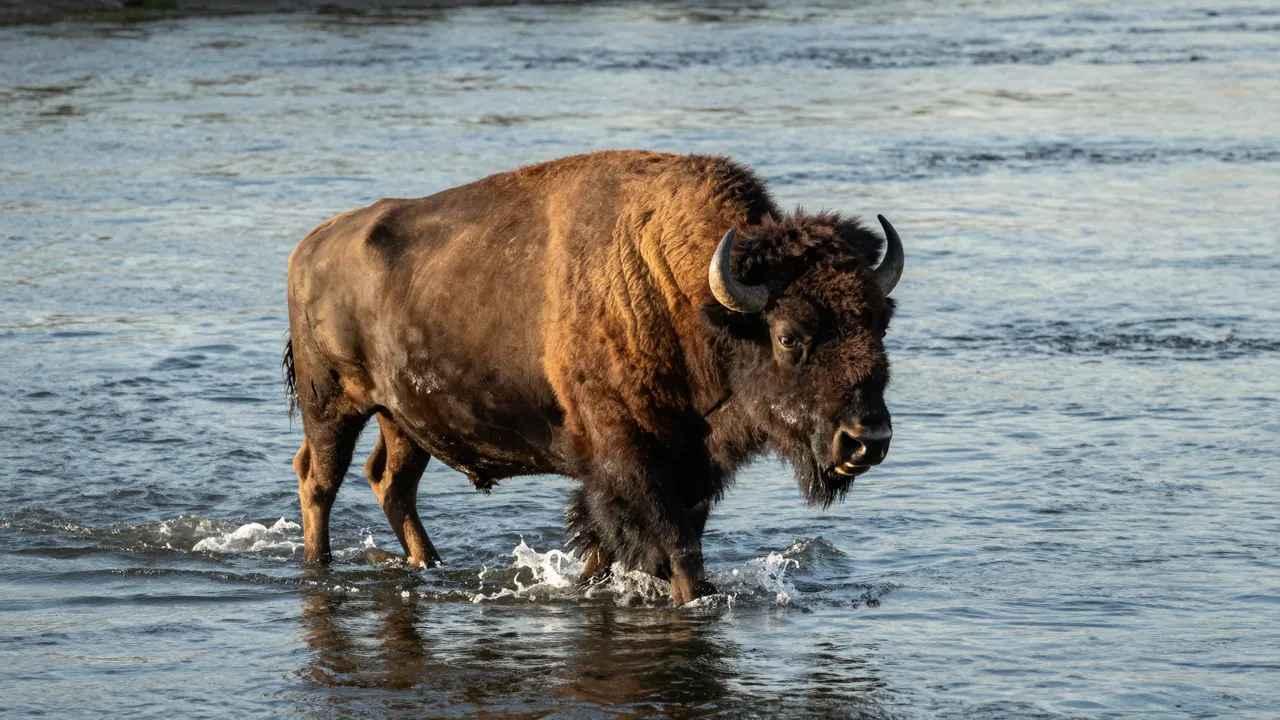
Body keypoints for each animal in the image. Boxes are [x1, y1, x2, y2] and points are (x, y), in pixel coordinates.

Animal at [283, 150, 902, 605]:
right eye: (790, 336)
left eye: (881, 322)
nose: (867, 440)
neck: (680, 293)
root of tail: (309, 245)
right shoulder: (630, 456)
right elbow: (675, 546)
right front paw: (690, 598)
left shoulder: (690, 462)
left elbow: (618, 541)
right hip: (333, 406)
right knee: (319, 480)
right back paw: (320, 567)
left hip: (403, 419)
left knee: (390, 483)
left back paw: (428, 564)